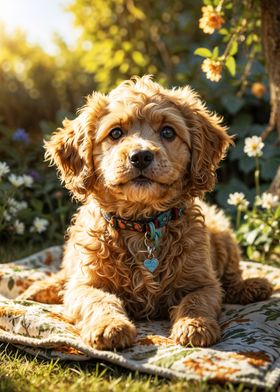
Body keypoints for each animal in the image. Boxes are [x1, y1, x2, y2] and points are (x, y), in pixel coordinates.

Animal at [20, 76, 272, 350]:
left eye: (168, 132)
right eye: (116, 133)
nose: (140, 156)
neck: (141, 223)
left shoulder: (204, 282)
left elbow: (197, 301)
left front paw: (195, 326)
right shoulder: (85, 284)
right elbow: (99, 300)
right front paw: (110, 326)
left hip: (223, 235)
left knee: (232, 276)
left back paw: (253, 286)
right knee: (65, 275)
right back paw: (39, 289)